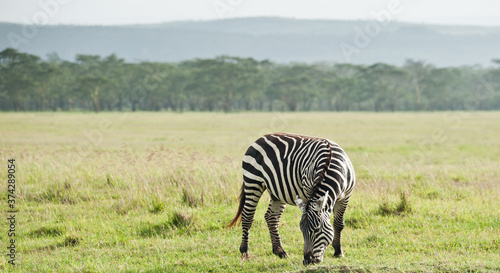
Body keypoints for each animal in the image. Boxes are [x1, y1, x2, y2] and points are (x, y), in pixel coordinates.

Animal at [228, 132, 356, 264]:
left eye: (317, 230)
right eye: (302, 231)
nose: (307, 261)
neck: (330, 164)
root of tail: (261, 138)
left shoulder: (345, 197)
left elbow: (338, 224)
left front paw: (338, 251)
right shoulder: (309, 191)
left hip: (277, 191)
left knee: (271, 217)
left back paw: (280, 251)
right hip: (253, 182)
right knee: (247, 216)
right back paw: (245, 252)